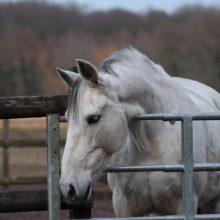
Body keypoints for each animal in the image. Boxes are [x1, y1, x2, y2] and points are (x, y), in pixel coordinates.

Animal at [57, 48, 220, 217]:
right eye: (67, 118)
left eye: (94, 118)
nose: (67, 187)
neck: (151, 147)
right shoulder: (123, 207)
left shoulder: (183, 205)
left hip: (213, 202)